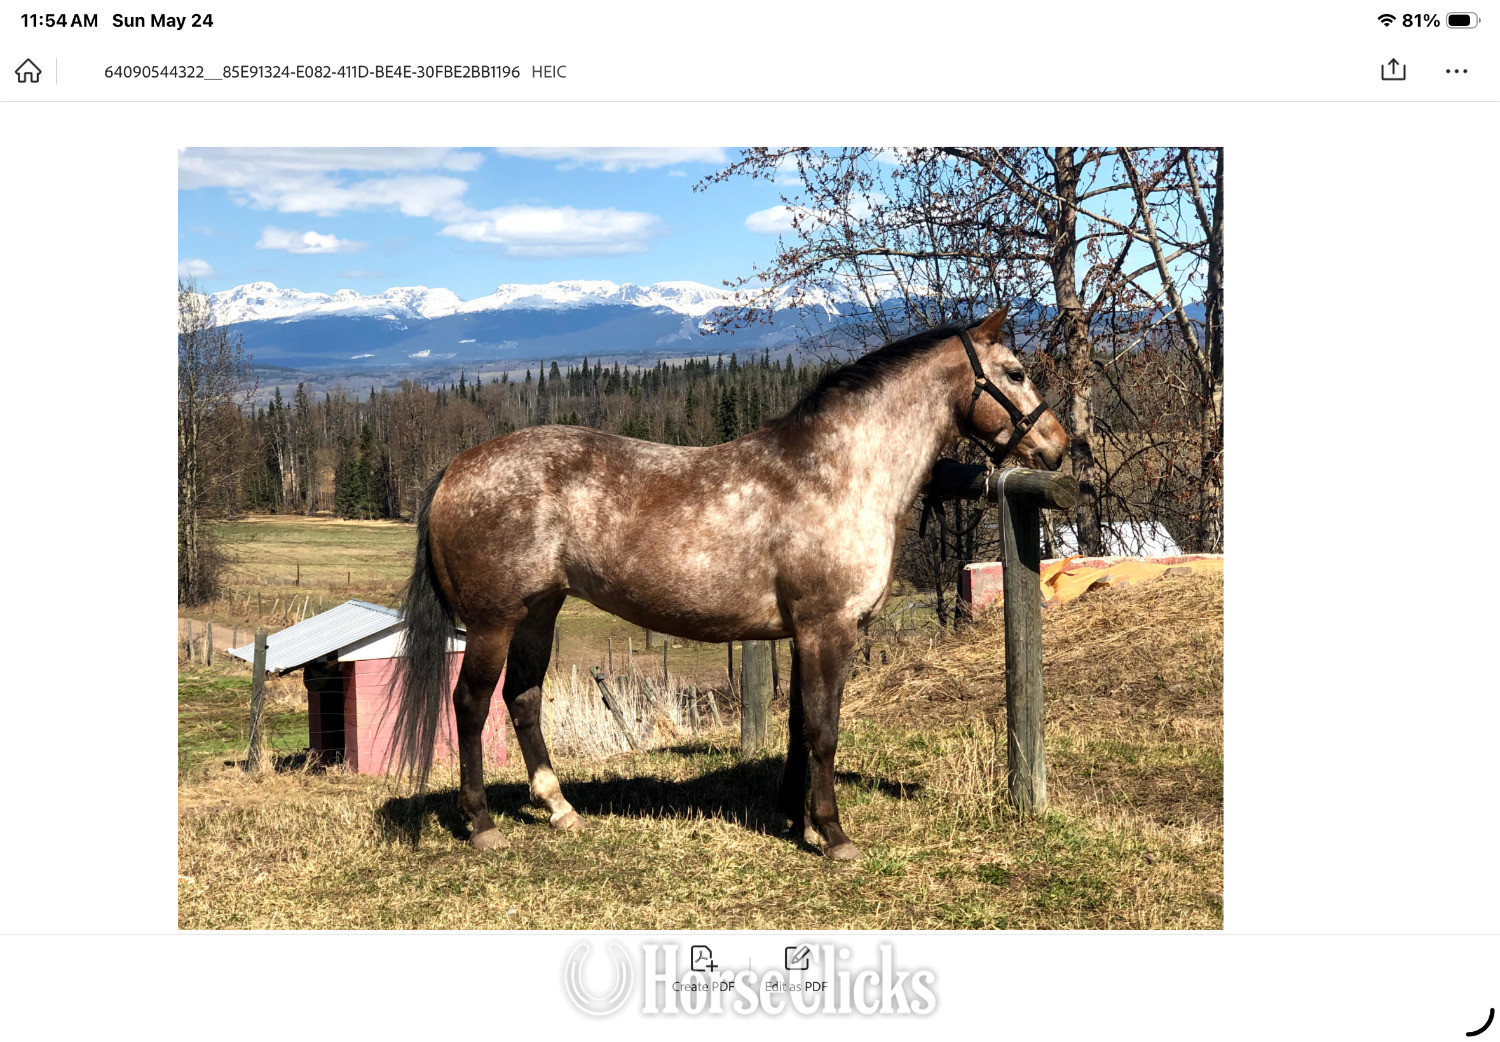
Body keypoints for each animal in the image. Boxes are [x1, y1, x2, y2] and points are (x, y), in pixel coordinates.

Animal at [391, 307, 1069, 860]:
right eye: (1014, 373)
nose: (1059, 445)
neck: (839, 473)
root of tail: (455, 469)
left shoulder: (801, 634)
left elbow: (798, 728)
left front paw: (797, 820)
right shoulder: (828, 629)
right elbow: (824, 730)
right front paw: (834, 834)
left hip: (540, 610)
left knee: (524, 699)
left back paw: (561, 810)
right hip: (493, 621)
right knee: (471, 705)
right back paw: (482, 825)